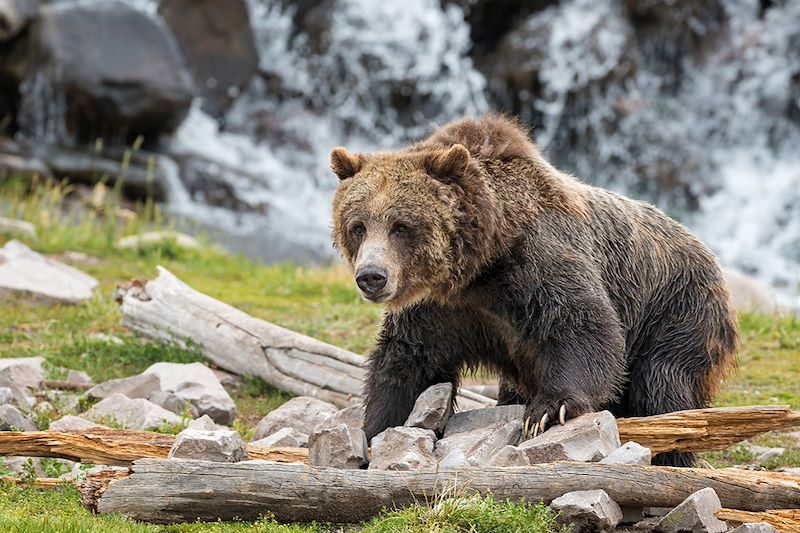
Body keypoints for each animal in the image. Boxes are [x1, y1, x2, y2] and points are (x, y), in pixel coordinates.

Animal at [326, 113, 736, 466]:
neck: (479, 266)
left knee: (663, 387)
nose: (372, 276)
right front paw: (375, 430)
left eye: (401, 226)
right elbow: (407, 362)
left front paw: (548, 410)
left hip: (676, 312)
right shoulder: (440, 310)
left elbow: (582, 325)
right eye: (358, 225)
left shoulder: (536, 264)